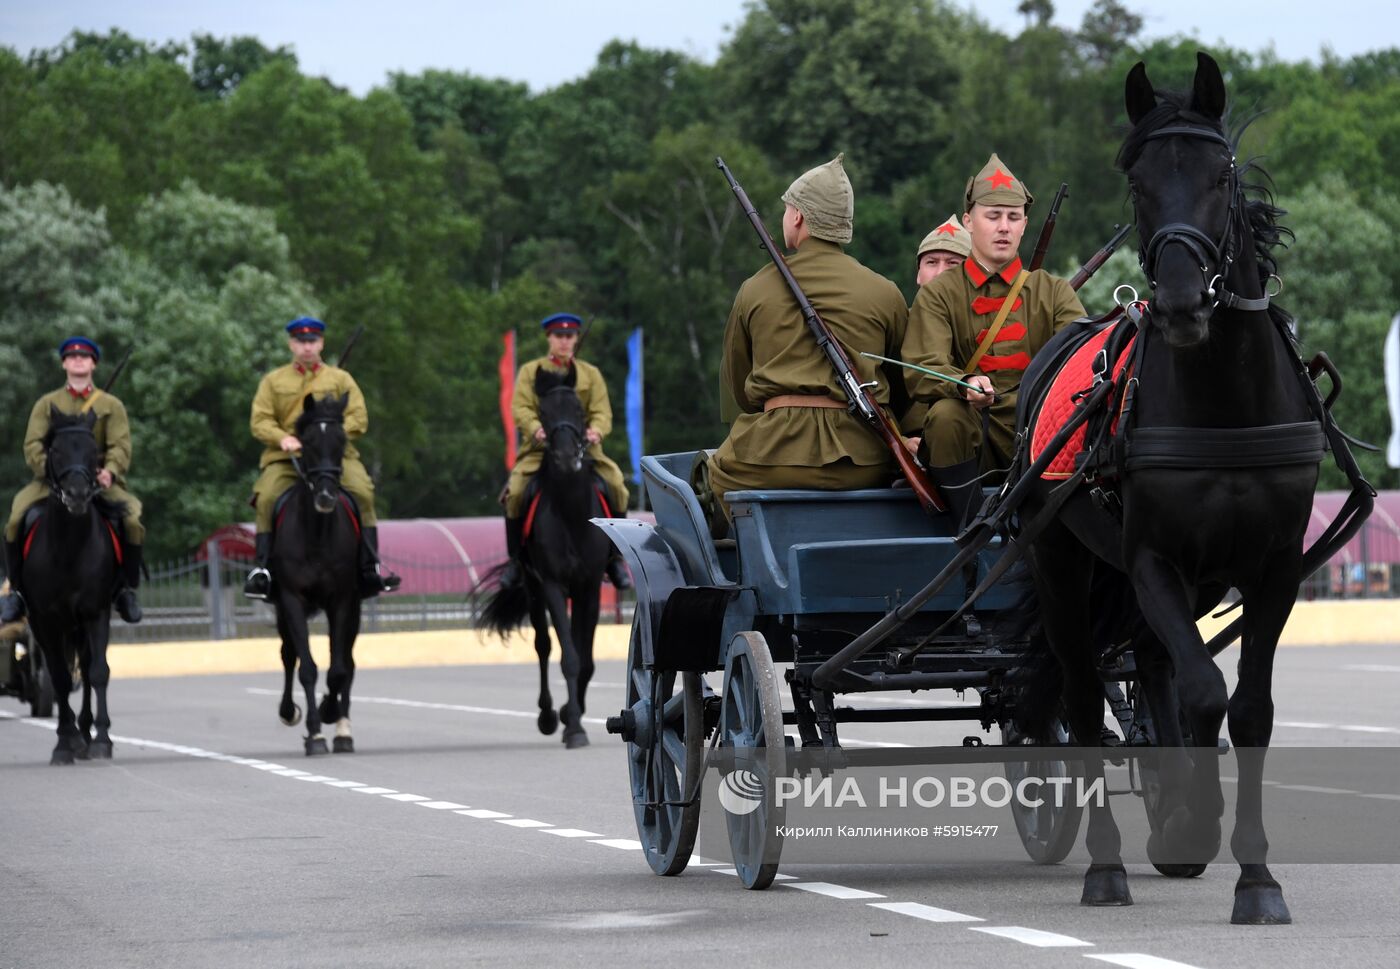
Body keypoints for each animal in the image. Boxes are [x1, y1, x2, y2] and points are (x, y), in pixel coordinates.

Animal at [22, 408, 121, 767]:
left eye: (93, 452)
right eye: (56, 451)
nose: (77, 495)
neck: (68, 550)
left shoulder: (96, 612)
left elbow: (98, 672)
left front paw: (102, 740)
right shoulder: (44, 621)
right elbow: (60, 678)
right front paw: (64, 744)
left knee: (89, 668)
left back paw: (87, 733)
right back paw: (75, 736)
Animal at [268, 394, 361, 756]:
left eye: (342, 440)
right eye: (306, 442)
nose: (325, 496)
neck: (318, 533)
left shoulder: (343, 600)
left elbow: (338, 670)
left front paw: (330, 713)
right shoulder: (291, 599)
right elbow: (305, 667)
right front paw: (315, 732)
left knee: (348, 661)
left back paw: (343, 728)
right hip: (282, 609)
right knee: (288, 655)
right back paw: (290, 713)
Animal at [481, 369, 607, 750]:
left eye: (579, 409)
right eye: (543, 412)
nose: (566, 458)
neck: (572, 512)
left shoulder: (589, 587)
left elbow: (585, 660)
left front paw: (573, 714)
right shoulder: (551, 583)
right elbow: (567, 656)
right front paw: (573, 725)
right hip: (534, 588)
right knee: (543, 646)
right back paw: (549, 715)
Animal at [1013, 54, 1327, 924]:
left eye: (1221, 176)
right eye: (1137, 179)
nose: (1184, 300)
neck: (1224, 403)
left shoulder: (1273, 566)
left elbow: (1244, 706)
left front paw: (1253, 873)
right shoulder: (1152, 556)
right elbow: (1202, 688)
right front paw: (1196, 826)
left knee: (1150, 666)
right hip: (1062, 560)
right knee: (1085, 694)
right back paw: (1105, 865)